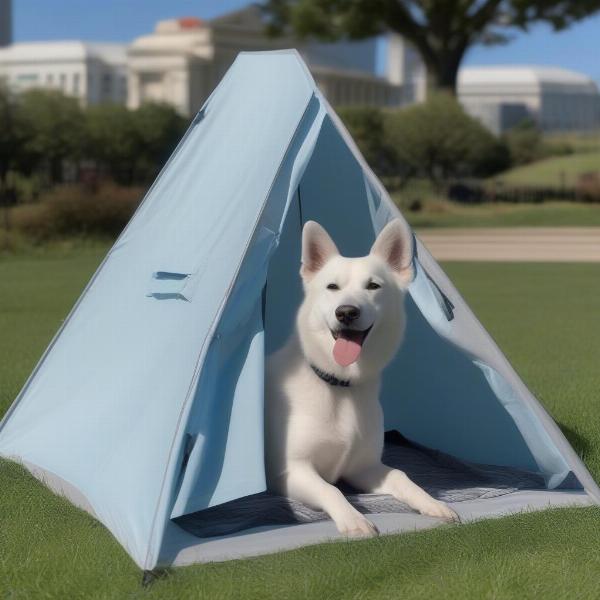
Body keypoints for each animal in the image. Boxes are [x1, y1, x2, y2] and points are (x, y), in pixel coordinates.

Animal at [264, 218, 458, 536]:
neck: (340, 386)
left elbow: (403, 476)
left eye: (373, 286)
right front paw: (353, 519)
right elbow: (331, 489)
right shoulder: (291, 471)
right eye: (332, 287)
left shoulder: (364, 468)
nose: (346, 312)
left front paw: (433, 503)